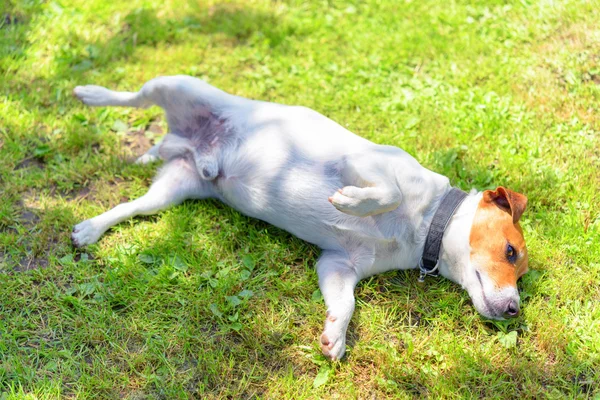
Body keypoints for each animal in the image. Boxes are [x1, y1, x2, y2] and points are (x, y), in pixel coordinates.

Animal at [71, 75, 528, 360]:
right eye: (510, 251)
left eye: (520, 273)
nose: (514, 311)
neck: (425, 223)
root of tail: (181, 141)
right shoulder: (363, 163)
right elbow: (387, 192)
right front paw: (350, 203)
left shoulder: (339, 265)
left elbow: (345, 304)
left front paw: (335, 335)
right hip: (175, 85)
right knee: (132, 96)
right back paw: (90, 92)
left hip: (173, 189)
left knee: (130, 207)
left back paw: (90, 228)